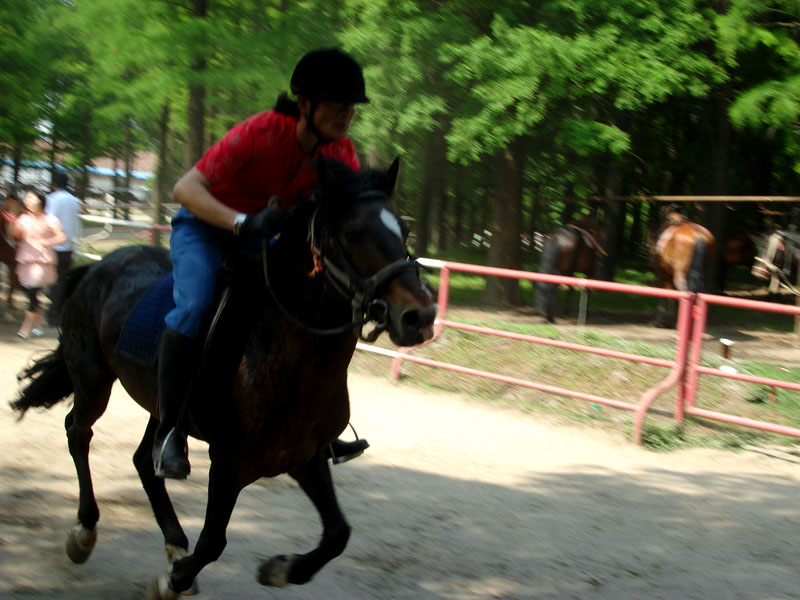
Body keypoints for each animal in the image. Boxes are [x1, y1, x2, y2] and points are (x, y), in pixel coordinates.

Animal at [9, 157, 438, 596]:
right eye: (352, 233)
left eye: (403, 231)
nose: (419, 316)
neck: (286, 354)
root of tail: (98, 267)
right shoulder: (229, 462)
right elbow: (214, 541)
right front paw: (173, 581)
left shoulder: (305, 455)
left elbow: (338, 534)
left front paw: (281, 569)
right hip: (93, 379)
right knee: (78, 433)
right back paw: (85, 531)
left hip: (162, 410)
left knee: (147, 459)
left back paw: (174, 542)